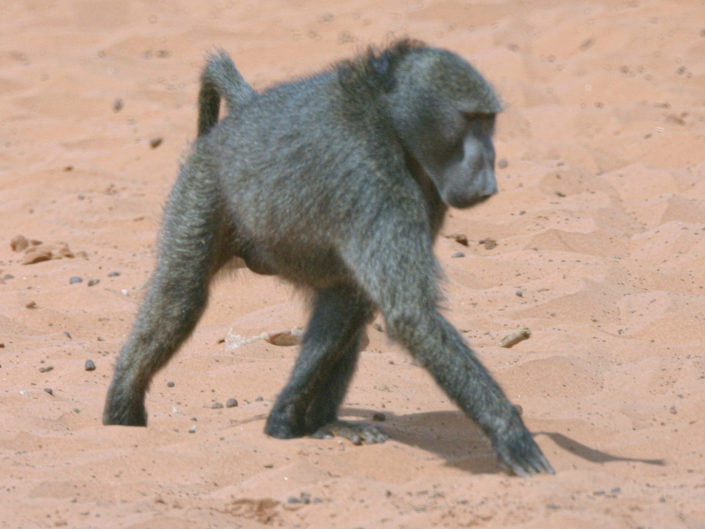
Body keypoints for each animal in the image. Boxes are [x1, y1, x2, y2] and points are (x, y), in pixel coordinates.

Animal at [103, 39, 554, 477]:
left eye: (488, 122)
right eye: (471, 120)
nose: (489, 174)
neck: (389, 121)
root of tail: (243, 115)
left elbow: (361, 302)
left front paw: (285, 420)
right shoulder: (372, 176)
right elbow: (412, 313)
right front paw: (512, 436)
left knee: (349, 302)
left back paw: (321, 423)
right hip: (203, 188)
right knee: (181, 298)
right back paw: (121, 412)